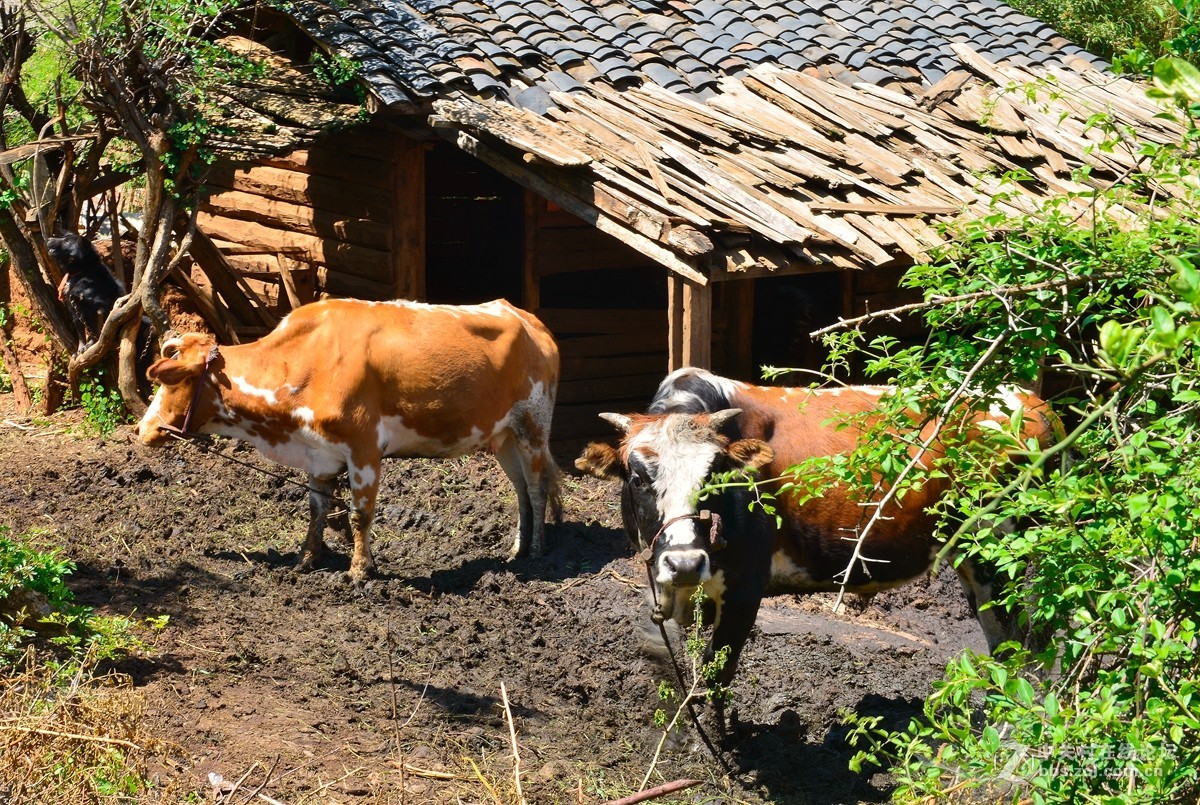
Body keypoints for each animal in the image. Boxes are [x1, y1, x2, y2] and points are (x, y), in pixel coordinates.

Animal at [137, 296, 561, 580]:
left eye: (170, 381)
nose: (142, 429)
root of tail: (527, 318)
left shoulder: (364, 449)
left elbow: (360, 514)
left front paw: (359, 570)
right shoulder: (318, 453)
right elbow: (317, 509)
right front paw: (306, 559)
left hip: (534, 427)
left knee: (537, 486)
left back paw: (539, 550)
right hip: (503, 437)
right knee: (521, 490)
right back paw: (517, 549)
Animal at [580, 371, 1060, 691]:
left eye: (716, 478)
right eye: (637, 478)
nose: (683, 562)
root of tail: (1034, 403)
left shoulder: (746, 588)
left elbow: (716, 679)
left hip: (1003, 554)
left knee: (1021, 642)